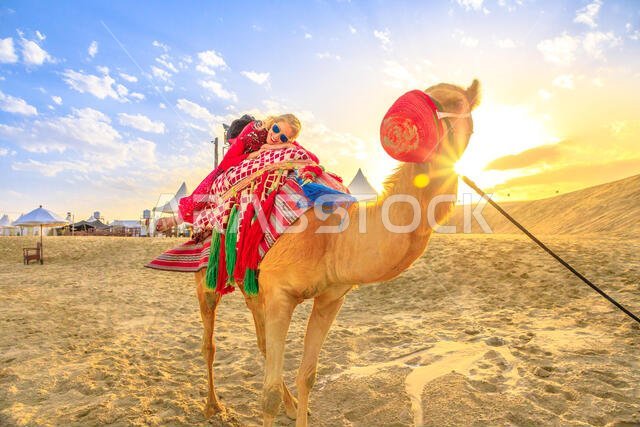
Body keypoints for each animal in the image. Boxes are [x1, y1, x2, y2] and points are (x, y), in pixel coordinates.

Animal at [194, 79, 480, 426]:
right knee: (209, 342)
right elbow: (268, 395)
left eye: (462, 107)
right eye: (435, 100)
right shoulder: (280, 294)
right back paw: (212, 405)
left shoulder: (330, 298)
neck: (335, 239)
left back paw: (288, 405)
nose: (406, 126)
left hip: (250, 280)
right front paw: (275, 402)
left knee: (261, 342)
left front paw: (299, 405)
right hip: (207, 274)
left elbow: (307, 375)